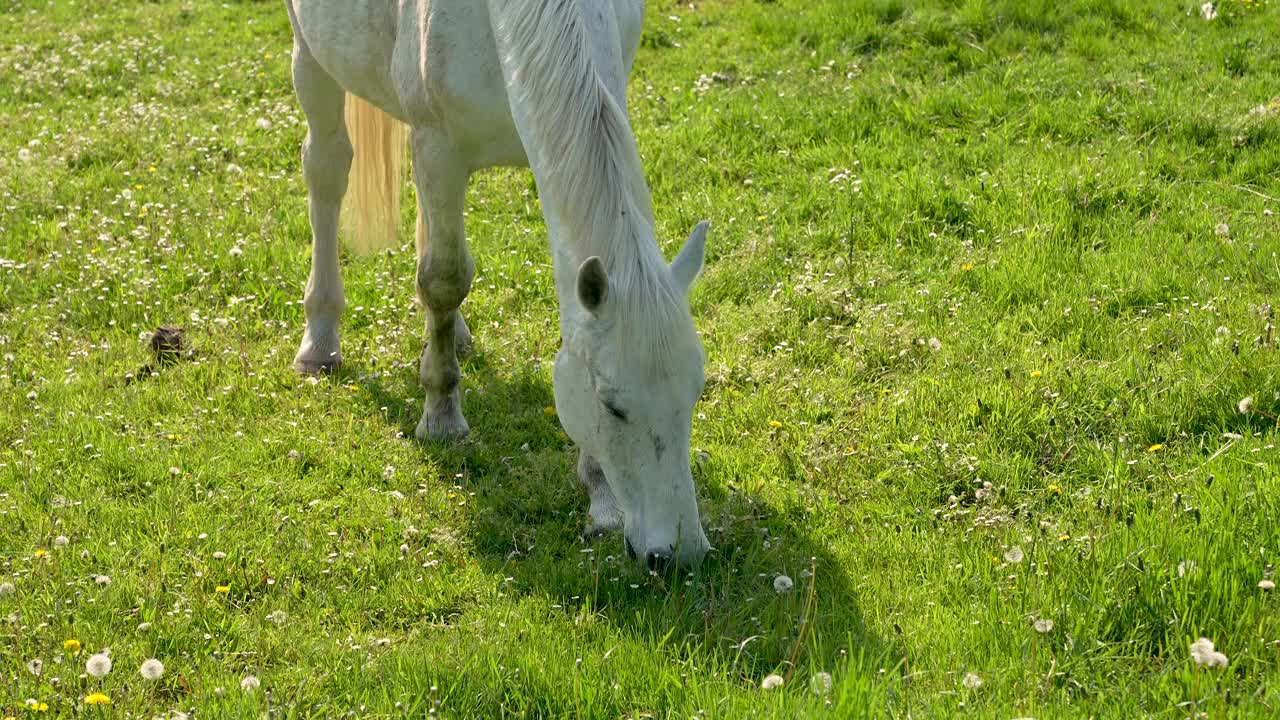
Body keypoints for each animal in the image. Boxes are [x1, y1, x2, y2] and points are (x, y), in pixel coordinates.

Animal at [284, 0, 716, 566]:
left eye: (694, 395)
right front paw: (441, 417)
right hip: (311, 58)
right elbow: (443, 280)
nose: (681, 555)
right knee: (327, 170)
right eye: (612, 406)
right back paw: (320, 341)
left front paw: (600, 494)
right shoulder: (438, 147)